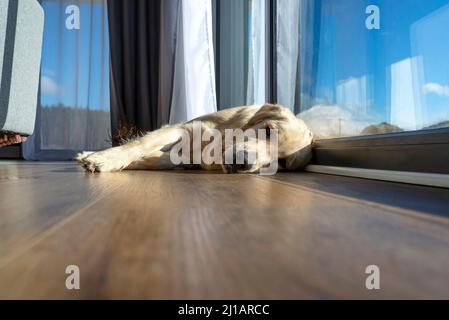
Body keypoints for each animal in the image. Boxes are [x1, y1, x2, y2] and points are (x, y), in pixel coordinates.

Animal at [75, 104, 314, 174]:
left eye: (281, 163)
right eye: (268, 131)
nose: (243, 163)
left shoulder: (178, 157)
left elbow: (149, 157)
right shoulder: (181, 129)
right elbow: (140, 144)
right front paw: (103, 159)